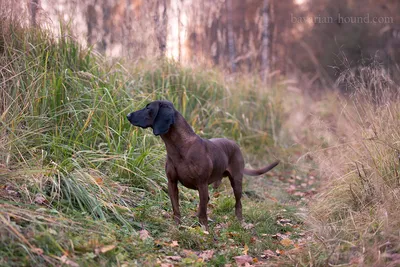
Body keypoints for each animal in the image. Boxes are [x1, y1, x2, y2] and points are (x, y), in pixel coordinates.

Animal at [126, 100, 280, 230]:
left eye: (148, 108)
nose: (128, 115)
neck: (180, 147)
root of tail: (235, 144)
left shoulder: (202, 184)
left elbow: (203, 212)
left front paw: (204, 230)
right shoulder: (172, 183)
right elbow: (176, 208)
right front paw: (177, 226)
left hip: (236, 183)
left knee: (238, 204)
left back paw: (240, 222)